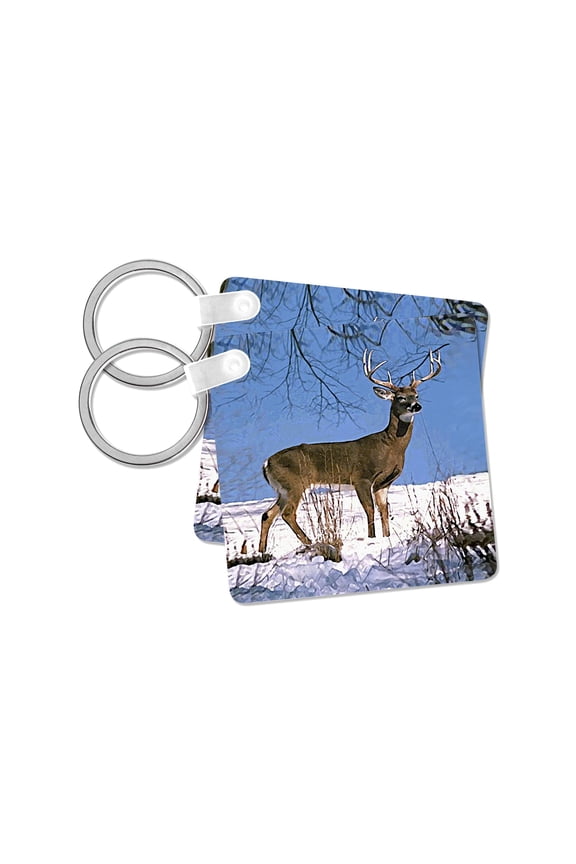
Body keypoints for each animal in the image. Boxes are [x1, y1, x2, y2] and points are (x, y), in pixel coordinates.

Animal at [258, 348, 442, 553]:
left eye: (416, 395)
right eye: (401, 398)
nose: (416, 406)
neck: (390, 446)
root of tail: (266, 463)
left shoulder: (384, 482)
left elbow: (384, 510)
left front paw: (386, 536)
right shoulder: (361, 477)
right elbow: (369, 509)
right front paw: (372, 537)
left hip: (283, 489)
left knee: (268, 514)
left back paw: (262, 550)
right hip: (295, 483)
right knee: (288, 513)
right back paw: (311, 542)